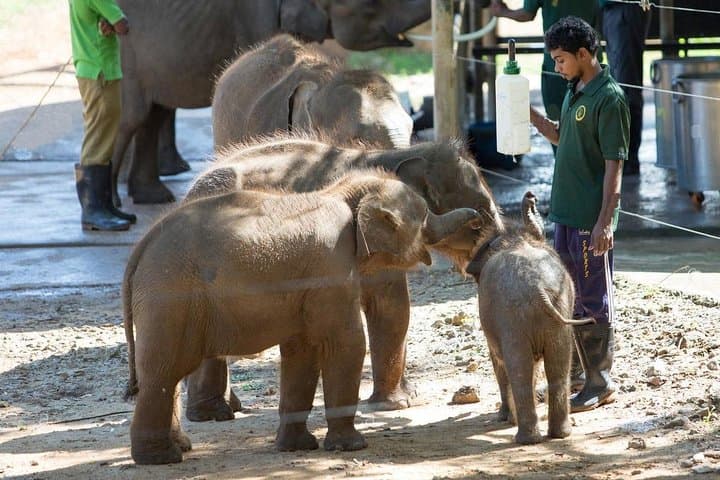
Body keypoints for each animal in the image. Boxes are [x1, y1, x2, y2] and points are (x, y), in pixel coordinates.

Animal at [123, 169, 482, 464]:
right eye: (424, 216)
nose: (478, 221)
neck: (343, 193)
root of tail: (141, 247)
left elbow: (302, 351)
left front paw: (297, 447)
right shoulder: (332, 265)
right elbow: (346, 342)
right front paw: (351, 447)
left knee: (164, 374)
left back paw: (179, 448)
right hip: (171, 298)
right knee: (163, 371)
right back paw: (161, 459)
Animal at [180, 136, 503, 422]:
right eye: (480, 218)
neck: (395, 155)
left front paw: (409, 395)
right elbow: (392, 306)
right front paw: (395, 405)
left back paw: (230, 407)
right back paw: (213, 414)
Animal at [465, 192, 593, 445]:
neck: (515, 237)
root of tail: (537, 287)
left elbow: (498, 362)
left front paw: (503, 418)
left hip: (512, 319)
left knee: (519, 370)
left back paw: (525, 437)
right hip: (557, 313)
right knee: (557, 368)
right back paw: (558, 434)